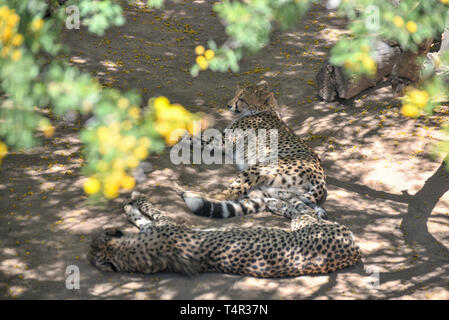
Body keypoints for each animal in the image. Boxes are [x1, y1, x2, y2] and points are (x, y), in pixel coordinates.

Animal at [89, 192, 362, 278]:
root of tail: (354, 251)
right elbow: (145, 216)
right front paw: (132, 204)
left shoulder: (161, 225)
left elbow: (145, 214)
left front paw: (132, 201)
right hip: (301, 225)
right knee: (296, 207)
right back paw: (276, 201)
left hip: (304, 224)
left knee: (299, 204)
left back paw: (276, 197)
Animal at [180, 81, 328, 219]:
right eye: (236, 94)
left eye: (241, 98)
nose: (228, 105)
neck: (266, 110)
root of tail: (319, 173)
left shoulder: (223, 142)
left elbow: (197, 137)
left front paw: (179, 135)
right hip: (272, 189)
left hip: (259, 169)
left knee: (231, 194)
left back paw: (193, 194)